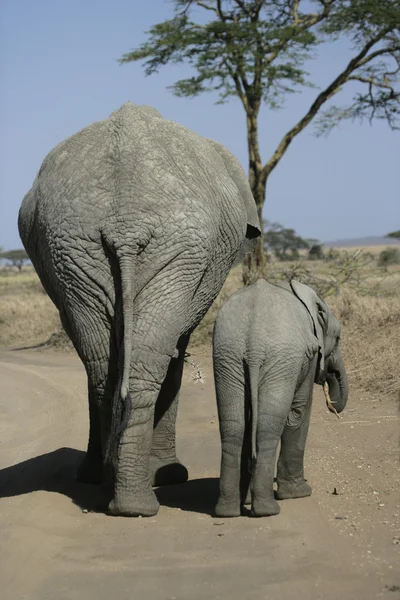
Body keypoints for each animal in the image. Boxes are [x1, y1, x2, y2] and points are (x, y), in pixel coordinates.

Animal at [18, 102, 260, 516]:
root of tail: (125, 222)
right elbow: (176, 353)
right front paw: (170, 475)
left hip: (72, 249)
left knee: (103, 366)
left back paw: (113, 492)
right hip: (168, 249)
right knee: (147, 362)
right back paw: (139, 501)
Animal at [212, 278, 346, 516]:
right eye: (338, 338)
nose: (333, 406)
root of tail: (254, 341)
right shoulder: (309, 355)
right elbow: (298, 412)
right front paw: (299, 493)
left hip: (227, 355)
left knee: (233, 427)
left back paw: (228, 510)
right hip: (281, 359)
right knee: (267, 428)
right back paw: (267, 509)